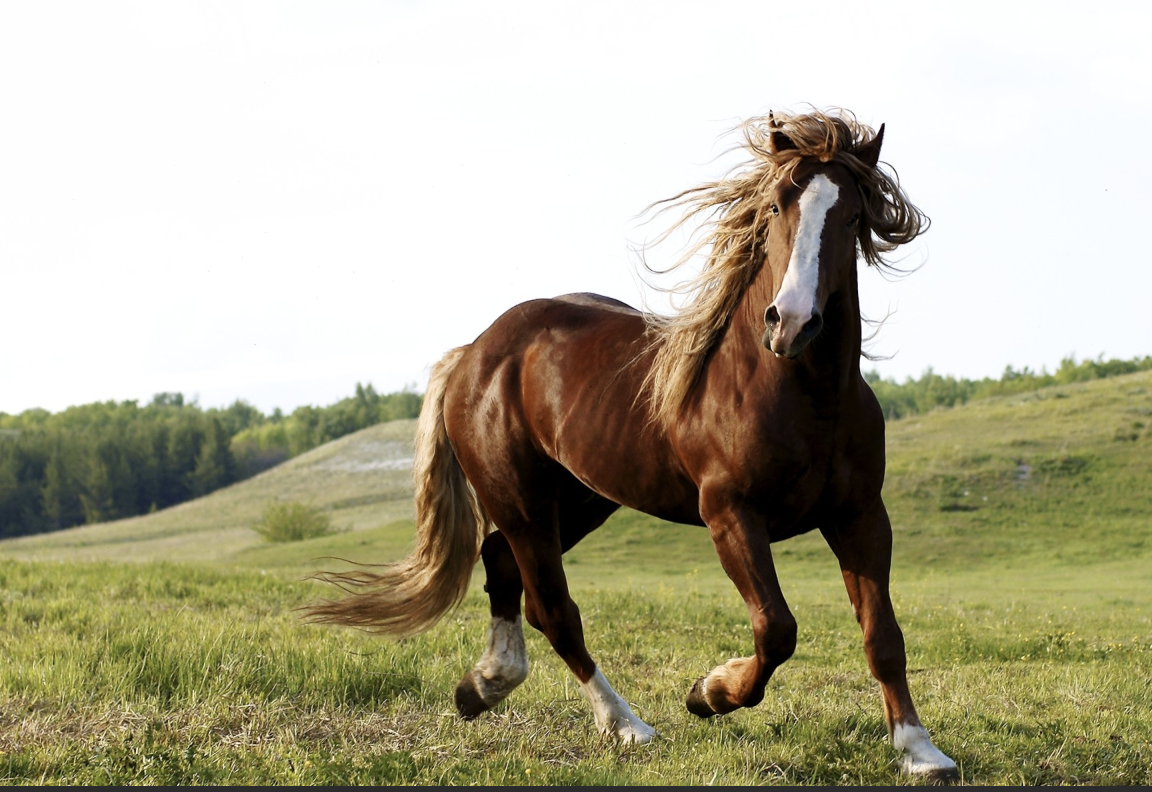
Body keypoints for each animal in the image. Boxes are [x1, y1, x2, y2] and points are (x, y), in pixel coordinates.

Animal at [305, 108, 959, 780]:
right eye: (778, 204)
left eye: (853, 215)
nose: (793, 323)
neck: (799, 391)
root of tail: (475, 352)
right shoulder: (730, 514)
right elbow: (776, 629)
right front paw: (709, 693)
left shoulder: (860, 515)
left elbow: (883, 636)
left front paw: (920, 750)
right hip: (523, 502)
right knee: (554, 610)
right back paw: (626, 725)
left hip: (579, 501)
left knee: (502, 565)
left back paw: (483, 685)